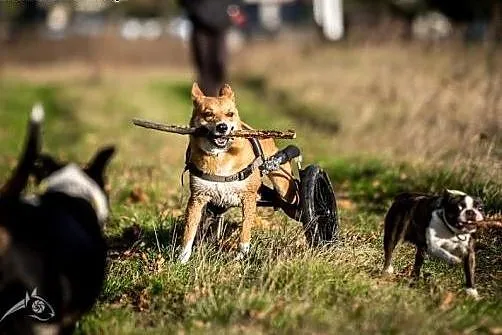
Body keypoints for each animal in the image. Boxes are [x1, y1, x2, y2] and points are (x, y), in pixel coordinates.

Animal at [179, 83, 298, 262]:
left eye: (230, 114)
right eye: (208, 114)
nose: (222, 127)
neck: (220, 156)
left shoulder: (248, 197)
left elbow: (245, 229)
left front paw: (242, 255)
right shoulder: (197, 198)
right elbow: (189, 229)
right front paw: (182, 259)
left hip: (284, 186)